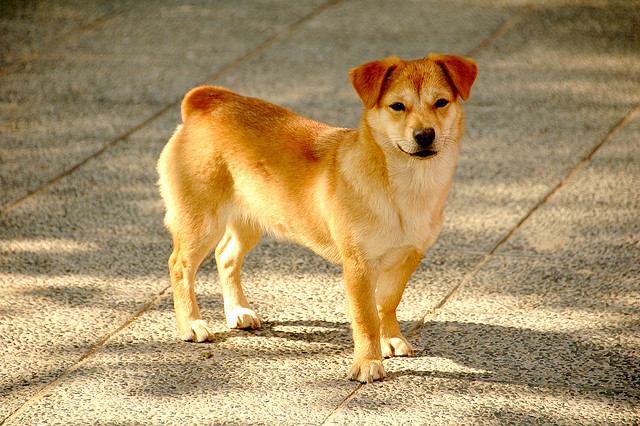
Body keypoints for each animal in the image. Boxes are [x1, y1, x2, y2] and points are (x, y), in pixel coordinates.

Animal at [156, 53, 476, 382]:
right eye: (397, 106)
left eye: (441, 102)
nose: (424, 135)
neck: (406, 188)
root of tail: (208, 103)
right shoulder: (358, 266)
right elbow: (365, 318)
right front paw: (368, 362)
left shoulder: (409, 256)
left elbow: (386, 303)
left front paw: (389, 338)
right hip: (201, 222)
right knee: (180, 266)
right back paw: (191, 324)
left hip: (250, 221)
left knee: (226, 256)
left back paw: (237, 311)